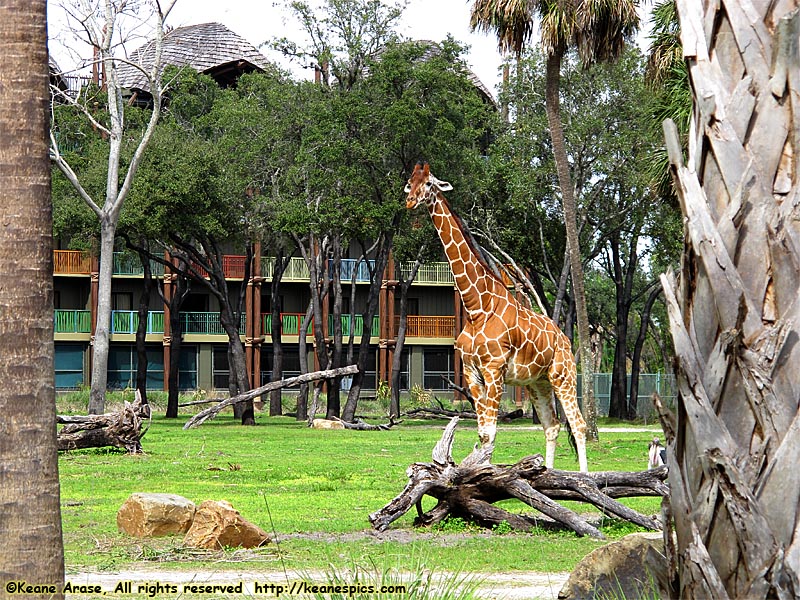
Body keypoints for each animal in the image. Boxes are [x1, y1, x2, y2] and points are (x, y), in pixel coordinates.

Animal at [406, 162, 588, 472]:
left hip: (563, 376)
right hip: (537, 382)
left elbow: (489, 433)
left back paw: (585, 480)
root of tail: (565, 339)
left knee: (579, 425)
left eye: (429, 183)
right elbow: (483, 433)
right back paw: (549, 474)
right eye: (410, 182)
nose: (409, 201)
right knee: (552, 426)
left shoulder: (494, 370)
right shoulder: (472, 373)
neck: (477, 307)